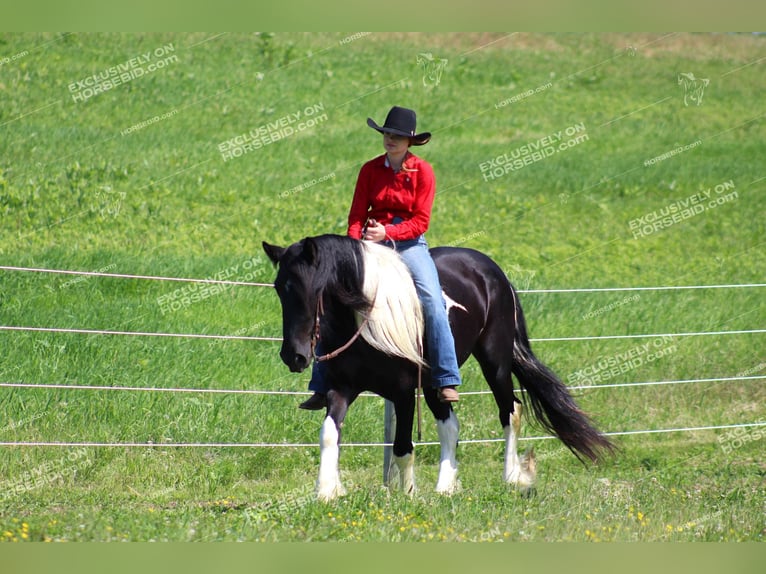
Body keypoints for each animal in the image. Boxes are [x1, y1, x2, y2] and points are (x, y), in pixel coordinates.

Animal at [266, 236, 616, 502]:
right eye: (279, 287)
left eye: (314, 288)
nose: (293, 356)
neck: (364, 321)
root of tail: (495, 273)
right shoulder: (341, 388)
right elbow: (329, 434)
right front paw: (327, 491)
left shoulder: (403, 392)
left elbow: (402, 447)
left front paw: (407, 494)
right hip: (438, 381)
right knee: (450, 424)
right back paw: (446, 486)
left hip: (495, 362)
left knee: (510, 411)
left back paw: (513, 476)